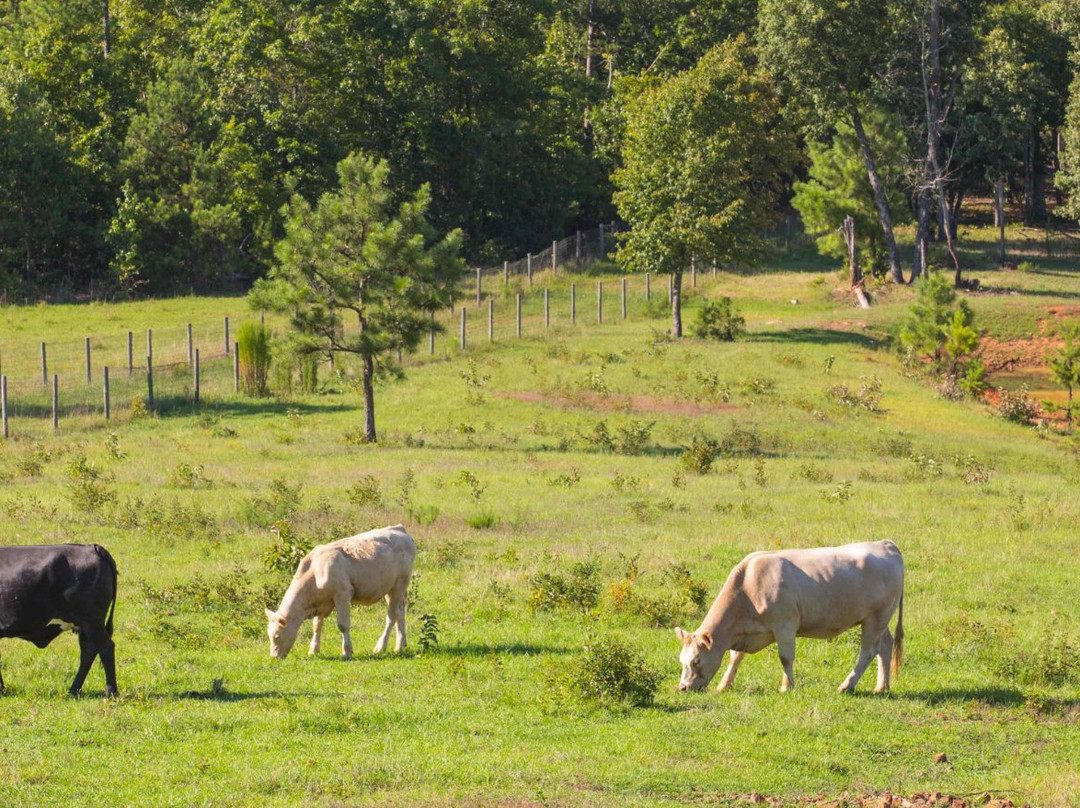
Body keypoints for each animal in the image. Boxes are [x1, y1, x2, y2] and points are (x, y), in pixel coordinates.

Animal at [0, 546, 118, 695]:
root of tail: (93, 547)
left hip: (92, 621)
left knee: (105, 648)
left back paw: (110, 692)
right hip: (85, 625)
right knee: (89, 650)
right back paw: (74, 690)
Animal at [265, 524, 416, 661]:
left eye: (277, 636)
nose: (274, 657)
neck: (315, 571)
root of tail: (399, 528)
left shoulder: (342, 594)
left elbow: (343, 625)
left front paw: (346, 652)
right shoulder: (321, 601)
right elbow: (317, 625)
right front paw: (314, 649)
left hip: (400, 583)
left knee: (392, 616)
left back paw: (381, 646)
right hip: (390, 589)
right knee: (400, 611)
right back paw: (400, 645)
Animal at [673, 535, 902, 695]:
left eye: (696, 661)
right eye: (682, 660)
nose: (683, 688)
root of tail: (885, 544)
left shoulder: (785, 625)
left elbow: (785, 657)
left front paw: (787, 686)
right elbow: (735, 658)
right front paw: (724, 685)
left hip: (876, 617)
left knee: (868, 651)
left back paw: (847, 685)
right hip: (880, 619)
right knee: (885, 645)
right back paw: (881, 686)